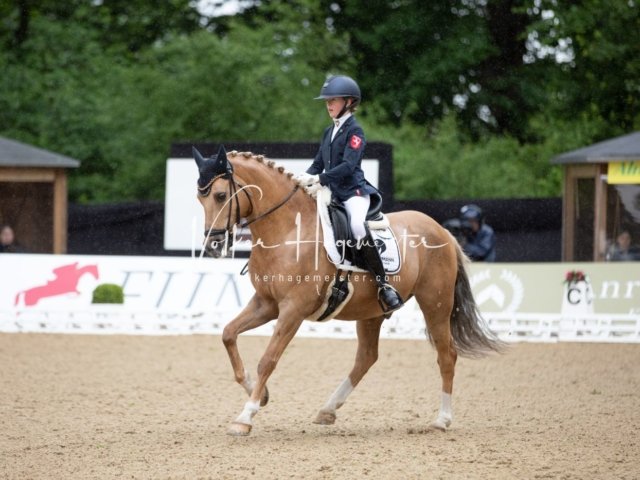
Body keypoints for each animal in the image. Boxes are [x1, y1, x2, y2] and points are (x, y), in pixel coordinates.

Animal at [193, 145, 504, 436]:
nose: (213, 245)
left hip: (435, 304)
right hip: (372, 312)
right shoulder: (266, 303)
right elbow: (228, 334)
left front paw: (245, 417)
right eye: (200, 198)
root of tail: (442, 230)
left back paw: (442, 420)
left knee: (446, 354)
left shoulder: (293, 309)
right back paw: (327, 410)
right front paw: (261, 394)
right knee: (366, 357)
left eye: (220, 195)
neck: (288, 230)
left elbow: (268, 360)